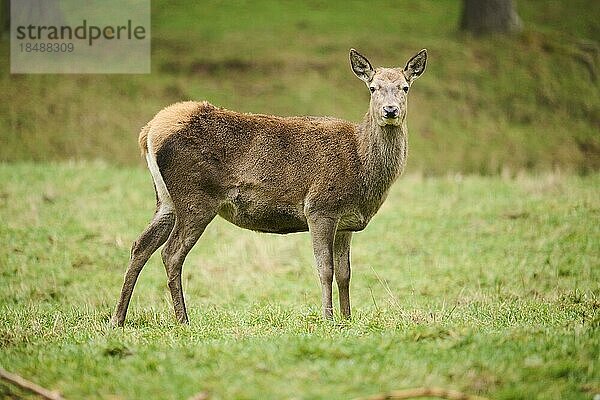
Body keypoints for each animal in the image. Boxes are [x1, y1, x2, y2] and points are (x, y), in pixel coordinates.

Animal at [109, 48, 426, 326]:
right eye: (373, 87)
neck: (362, 168)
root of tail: (149, 132)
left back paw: (118, 319)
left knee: (140, 245)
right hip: (195, 197)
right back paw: (183, 320)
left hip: (166, 199)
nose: (390, 110)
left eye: (405, 87)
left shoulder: (346, 221)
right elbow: (325, 269)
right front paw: (328, 320)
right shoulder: (320, 208)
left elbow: (345, 273)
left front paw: (348, 319)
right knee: (171, 253)